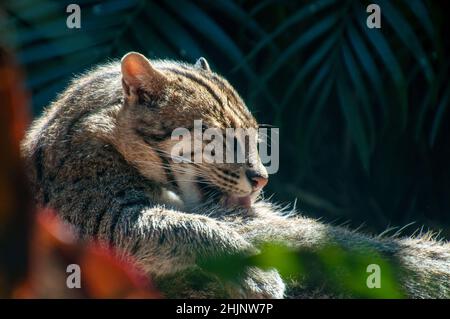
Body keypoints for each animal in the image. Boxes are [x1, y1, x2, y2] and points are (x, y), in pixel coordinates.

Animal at [22, 51, 450, 298]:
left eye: (255, 135)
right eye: (220, 139)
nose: (263, 179)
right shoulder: (100, 219)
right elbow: (187, 226)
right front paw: (256, 272)